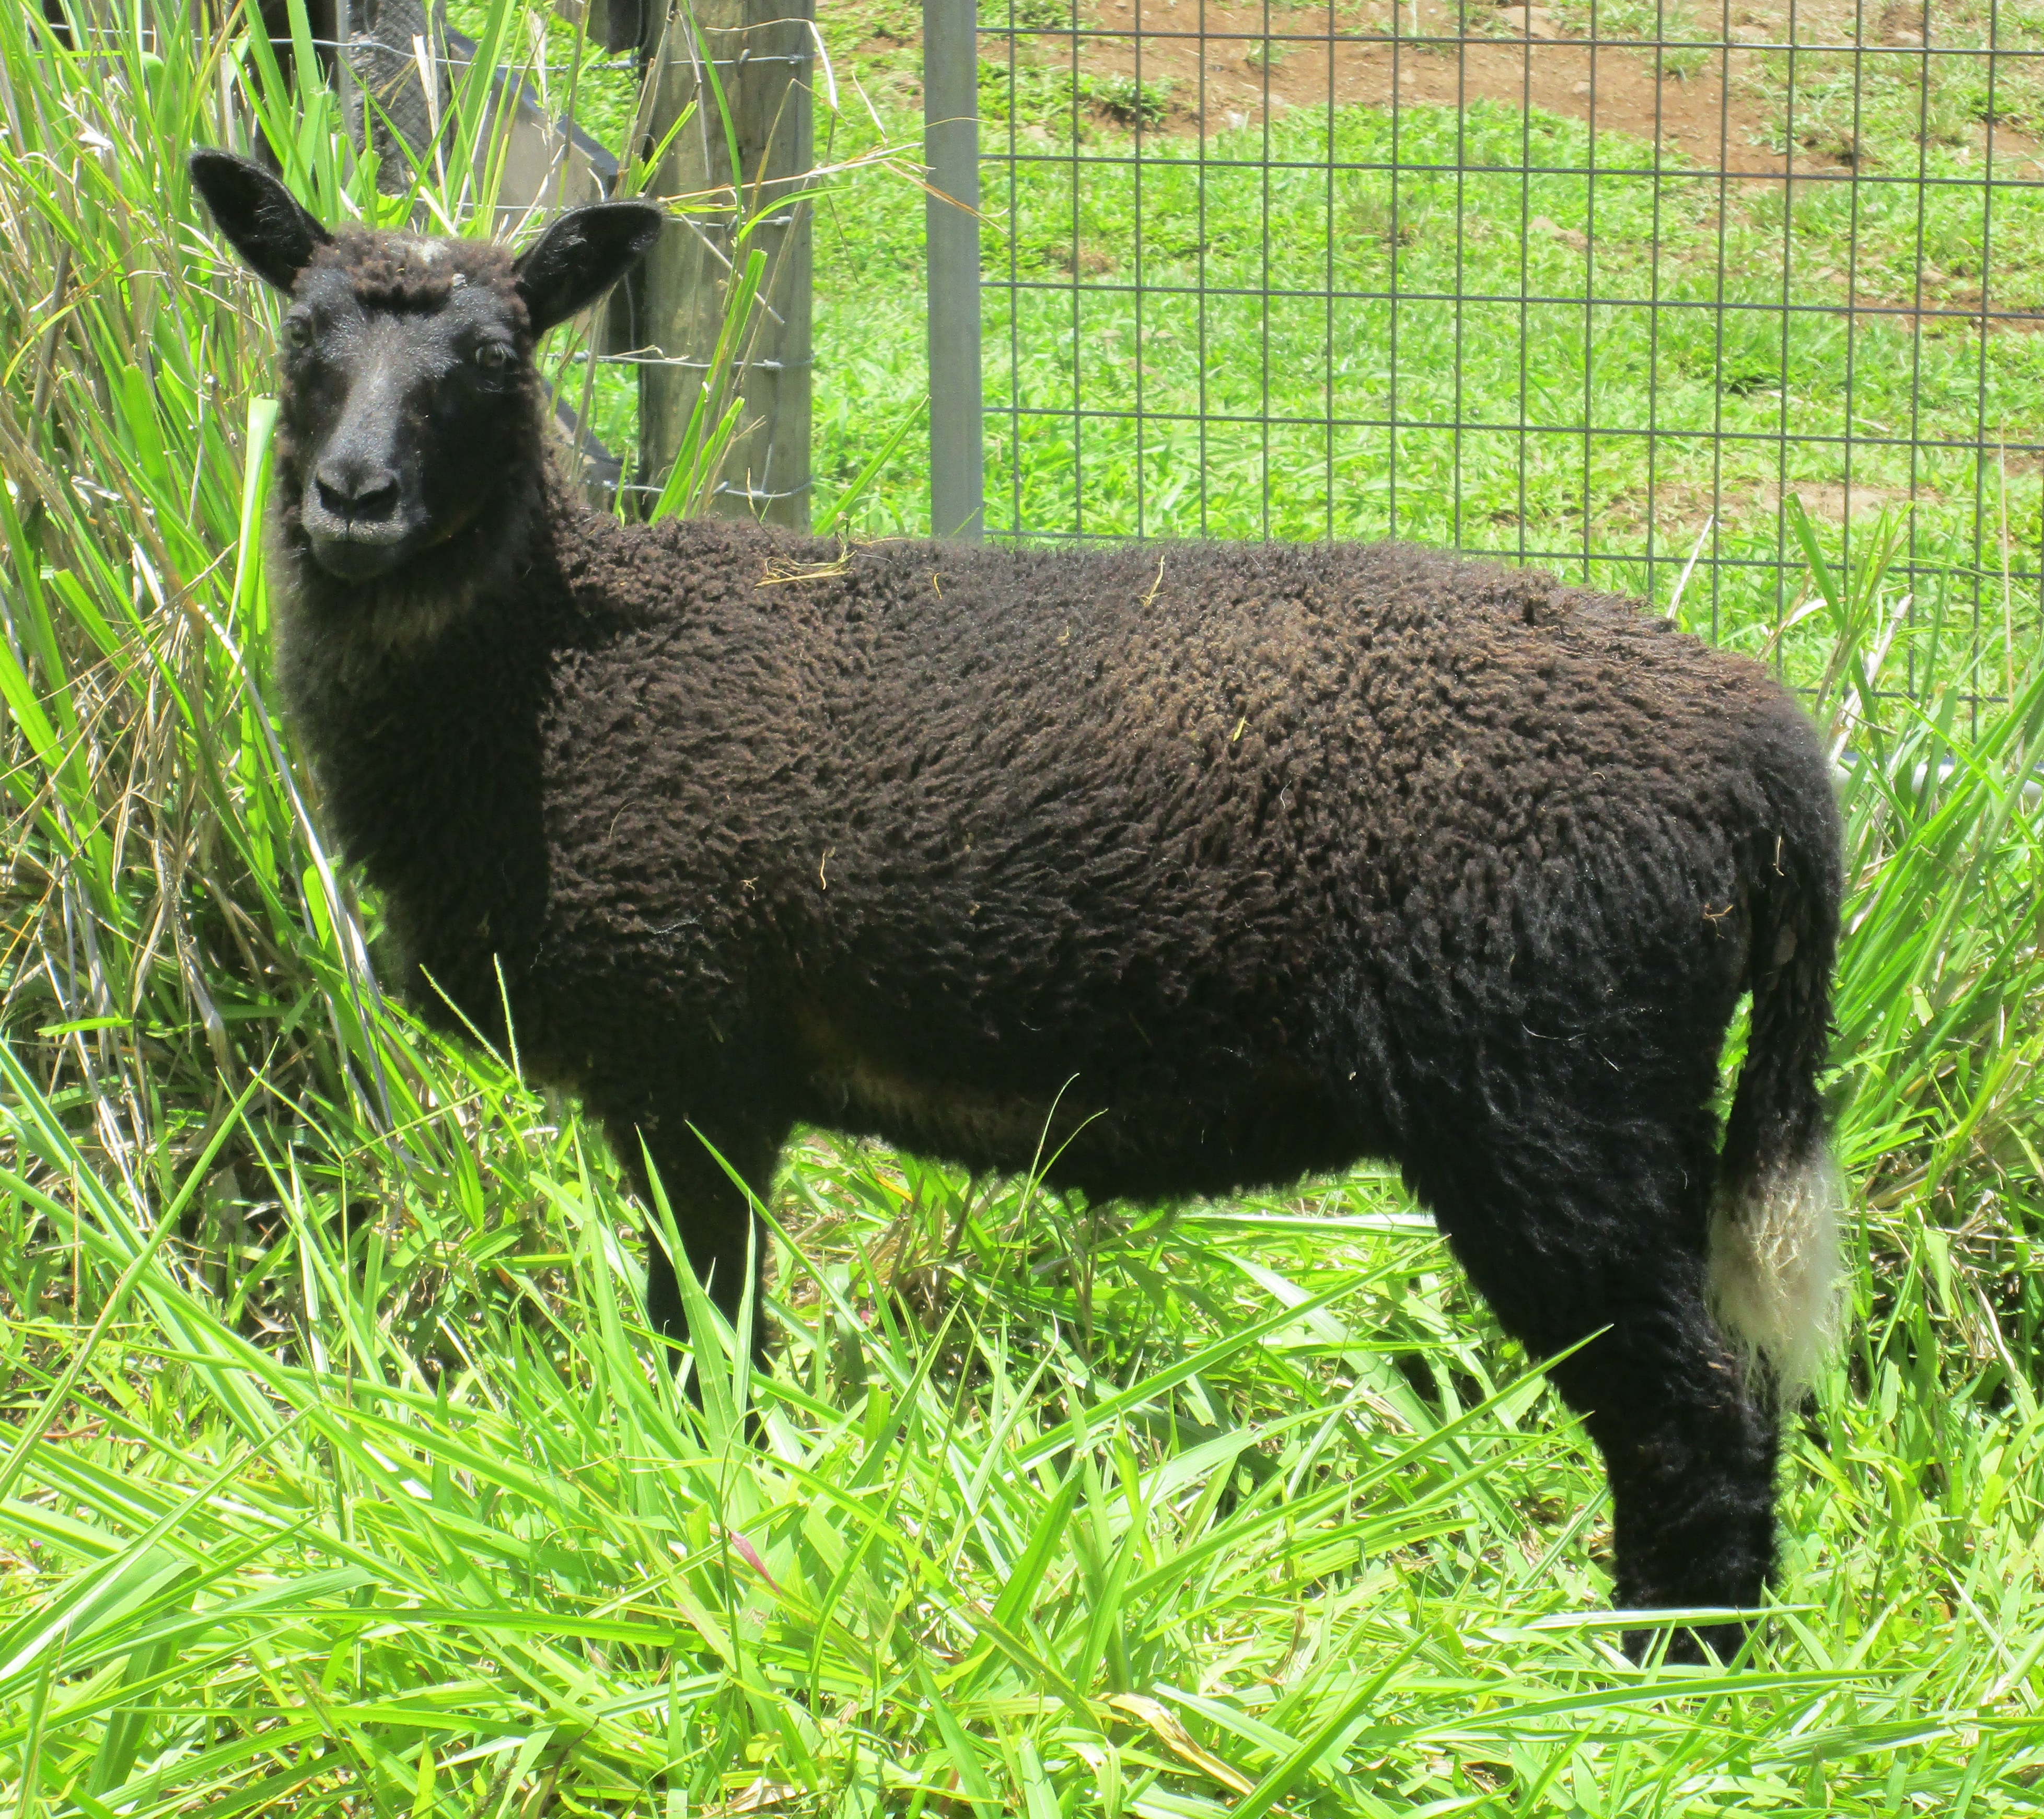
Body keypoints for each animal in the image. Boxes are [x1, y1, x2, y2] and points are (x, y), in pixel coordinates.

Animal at [192, 149, 1856, 1651]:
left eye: (496, 361)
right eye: (300, 337)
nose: (354, 498)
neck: (550, 684)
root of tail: (1771, 756)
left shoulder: (691, 1052)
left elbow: (707, 1353)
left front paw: (709, 1540)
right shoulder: (700, 1080)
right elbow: (714, 1347)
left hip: (1548, 1088)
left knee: (1694, 1417)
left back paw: (1638, 1689)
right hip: (1644, 1095)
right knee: (1735, 1395)